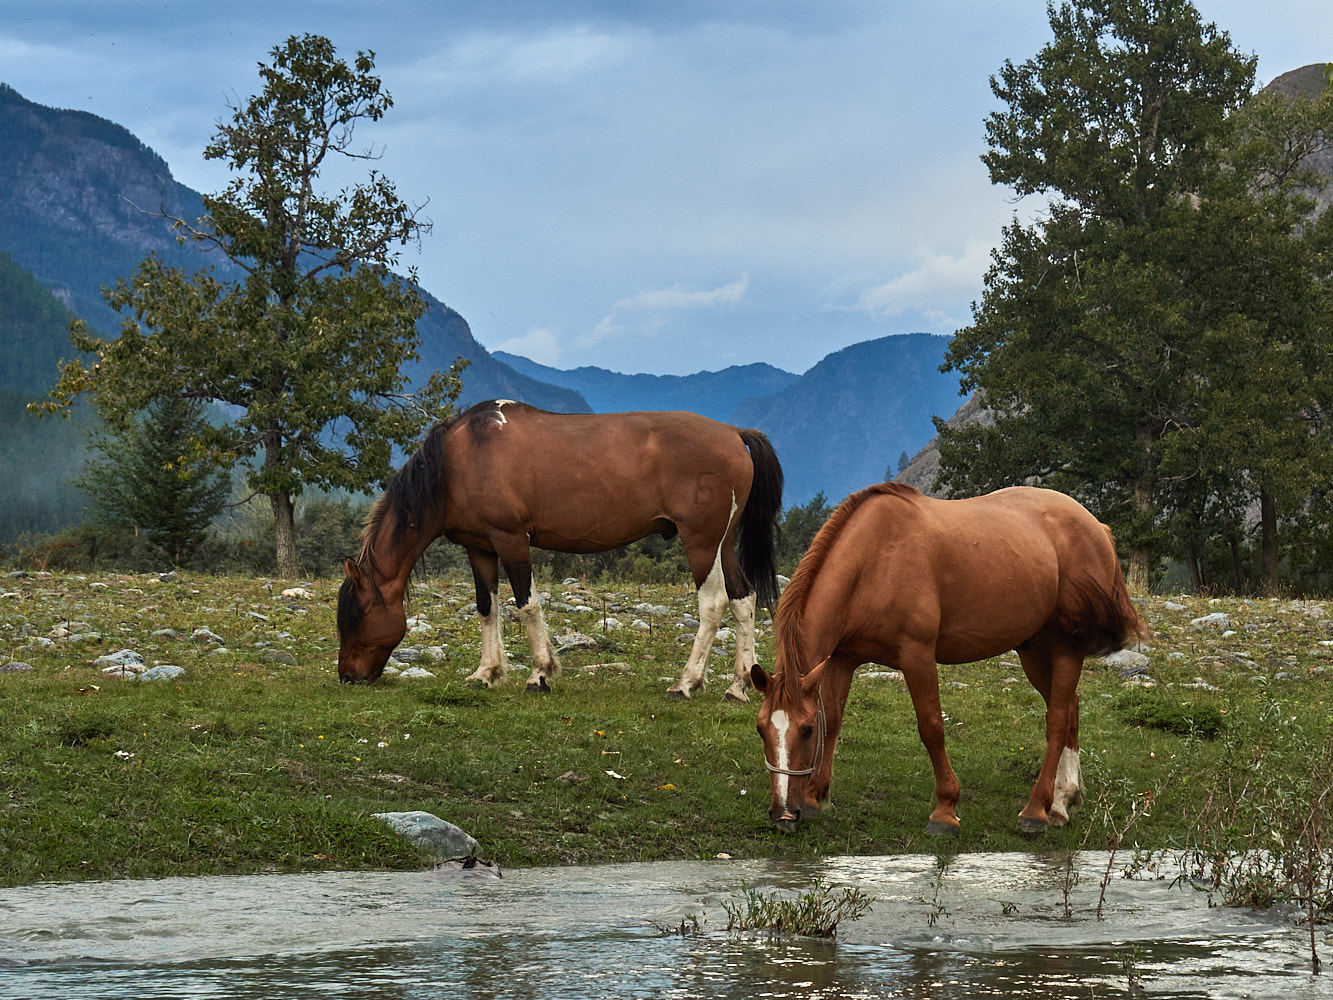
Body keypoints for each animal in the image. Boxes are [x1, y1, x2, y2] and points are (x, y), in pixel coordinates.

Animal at [338, 397, 783, 698]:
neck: (460, 460)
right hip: (722, 545)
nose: (347, 676)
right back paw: (738, 686)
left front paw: (539, 674)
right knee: (743, 599)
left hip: (702, 542)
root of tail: (733, 433)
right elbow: (487, 608)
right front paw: (486, 673)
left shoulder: (511, 539)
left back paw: (686, 683)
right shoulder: (480, 548)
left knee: (713, 604)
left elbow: (526, 604)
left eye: (356, 616)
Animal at [757, 485, 1141, 837]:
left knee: (1058, 719)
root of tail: (1096, 526)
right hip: (1033, 650)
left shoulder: (917, 655)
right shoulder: (842, 659)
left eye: (805, 730)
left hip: (1066, 648)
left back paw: (1036, 810)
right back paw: (1062, 802)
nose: (783, 815)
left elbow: (931, 727)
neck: (873, 560)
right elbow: (834, 721)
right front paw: (816, 797)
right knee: (1070, 709)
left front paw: (945, 811)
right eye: (761, 728)